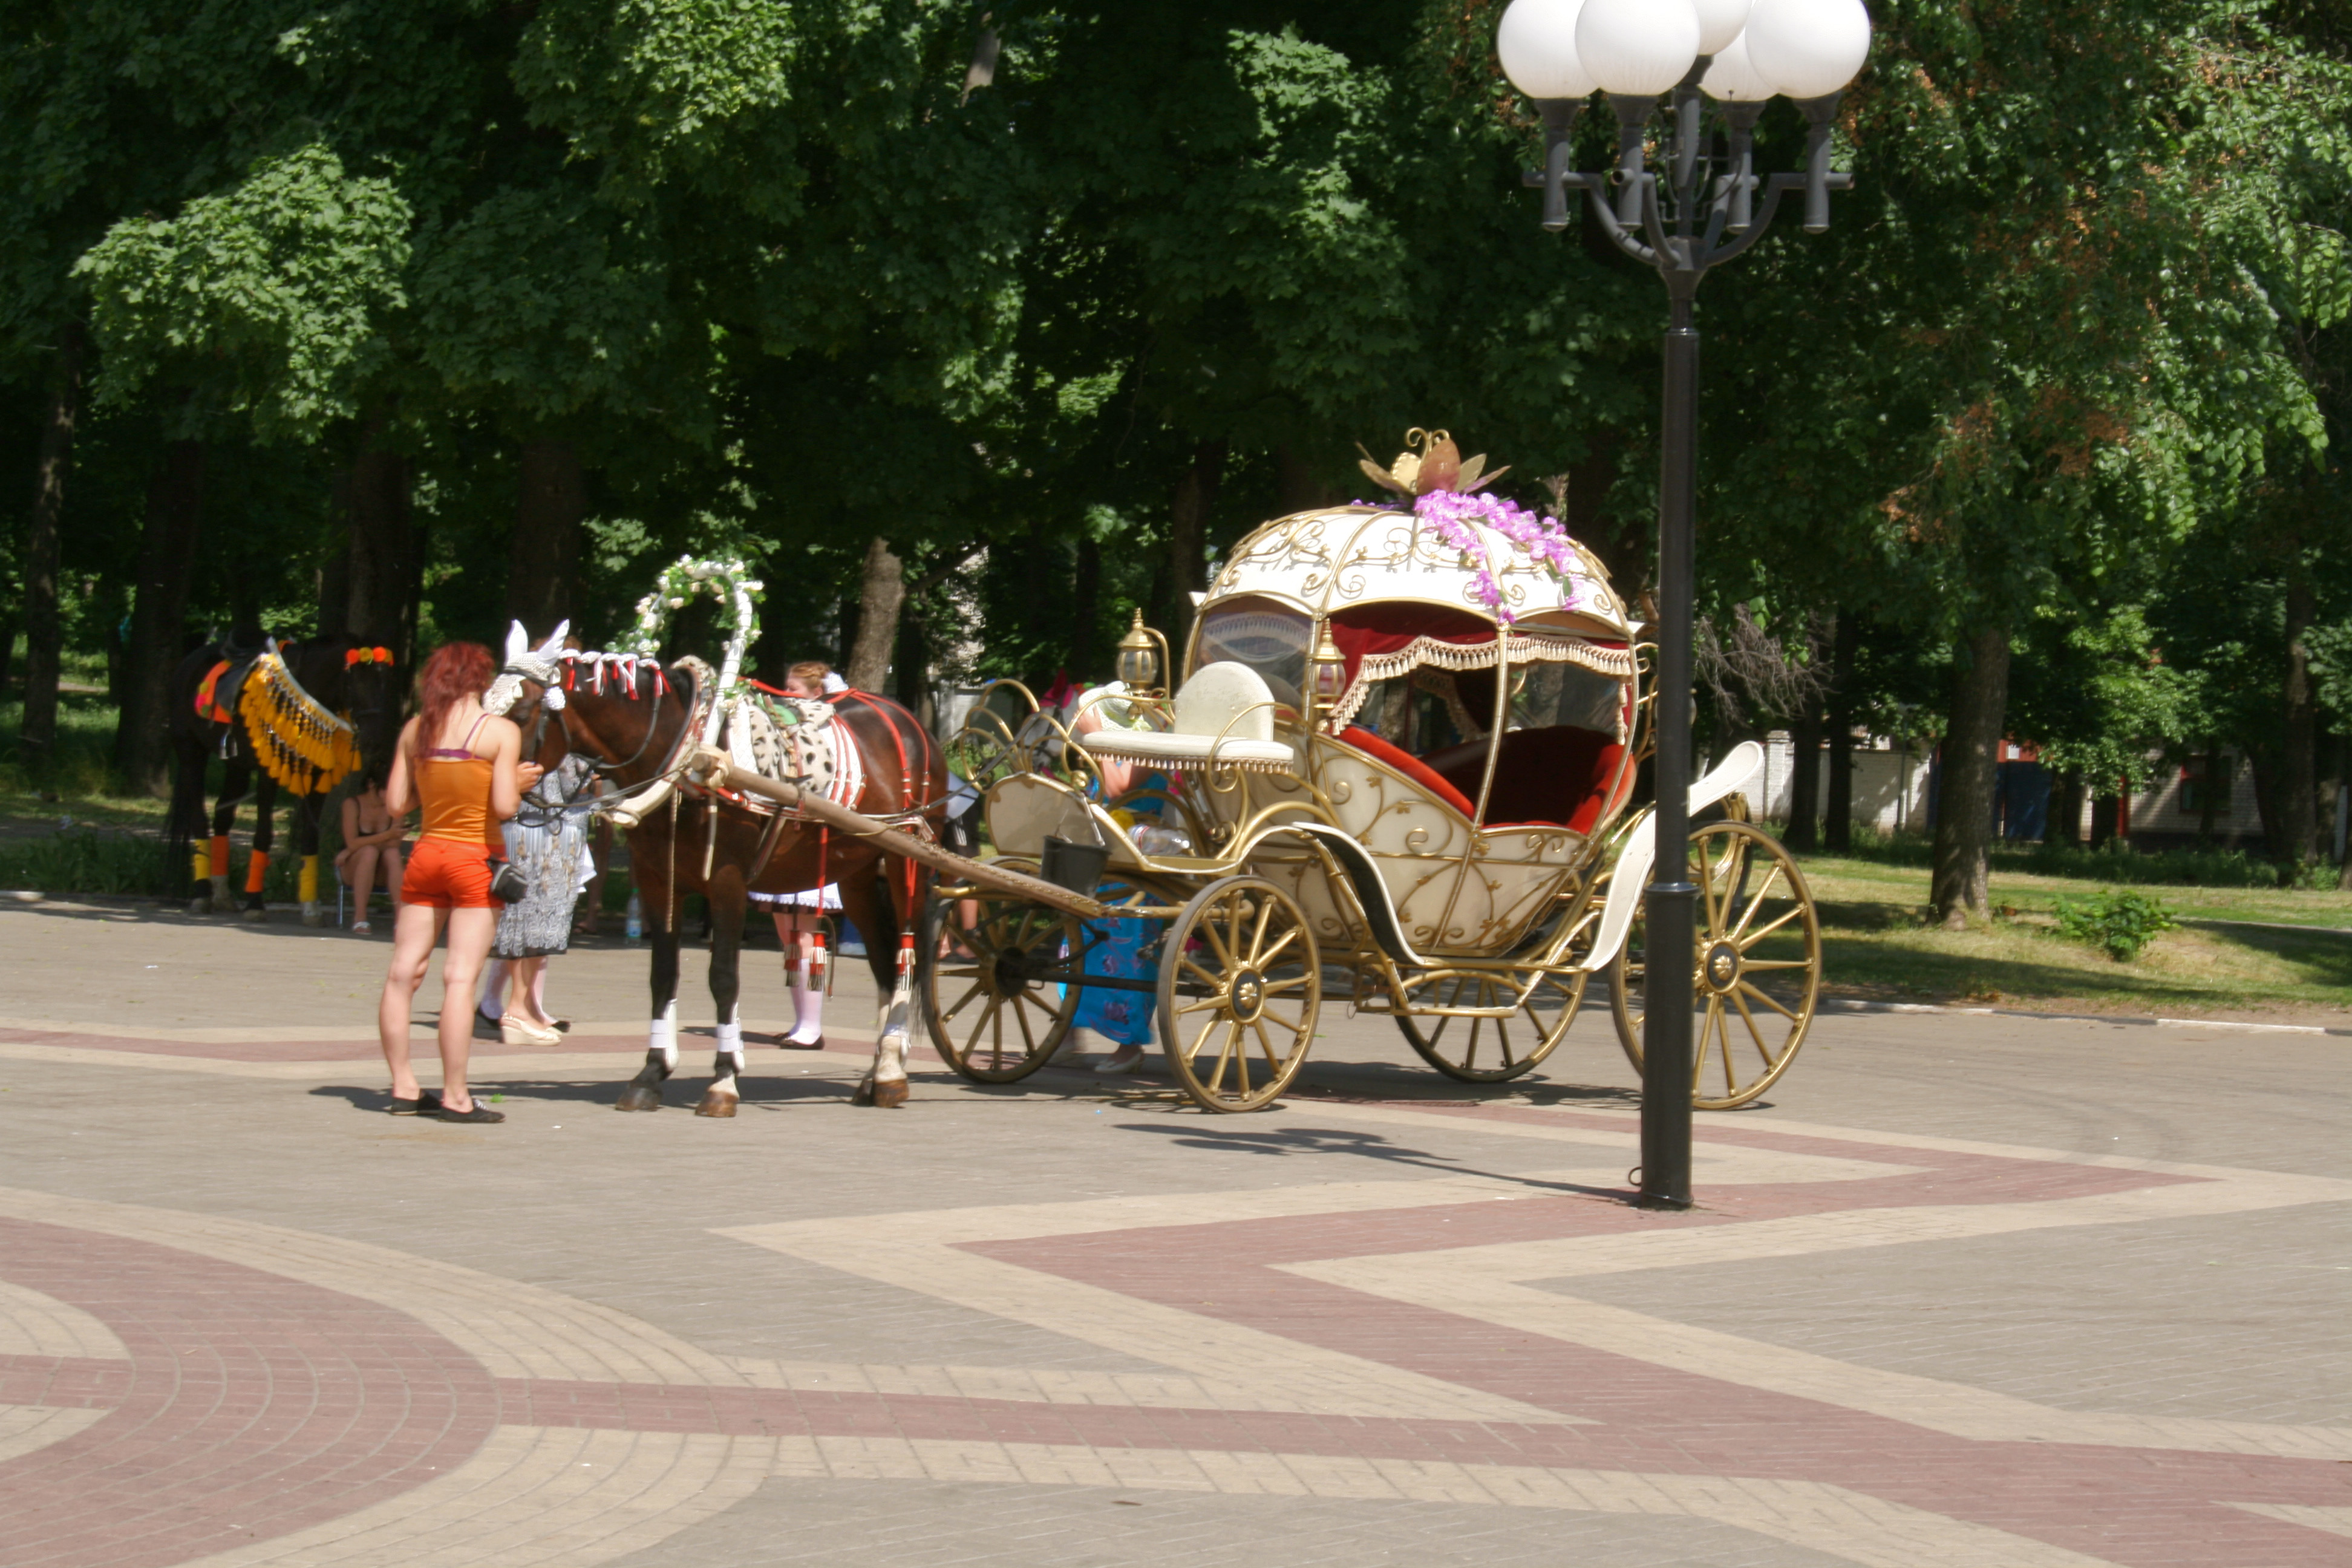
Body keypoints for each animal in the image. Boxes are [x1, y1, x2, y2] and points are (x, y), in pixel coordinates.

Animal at [166, 639, 407, 926]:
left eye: (384, 682)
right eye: (355, 681)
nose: (375, 739)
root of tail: (188, 663)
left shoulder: (317, 779)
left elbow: (310, 836)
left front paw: (310, 906)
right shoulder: (268, 775)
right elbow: (264, 835)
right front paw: (255, 902)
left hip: (237, 766)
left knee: (222, 818)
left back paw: (222, 894)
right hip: (190, 752)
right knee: (199, 819)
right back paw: (202, 894)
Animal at [501, 648, 950, 1114]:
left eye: (520, 713)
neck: (689, 755)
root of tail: (908, 719)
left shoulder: (727, 882)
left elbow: (723, 977)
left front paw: (723, 1080)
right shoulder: (657, 880)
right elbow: (663, 975)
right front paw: (651, 1072)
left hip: (905, 863)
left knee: (905, 961)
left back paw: (891, 1071)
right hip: (858, 874)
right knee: (883, 961)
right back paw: (875, 1075)